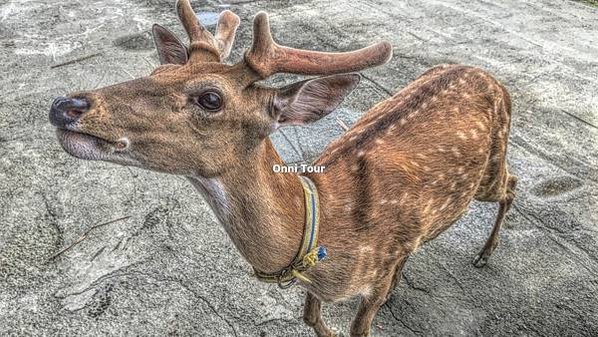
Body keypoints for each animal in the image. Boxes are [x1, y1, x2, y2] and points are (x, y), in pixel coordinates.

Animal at [47, 1, 516, 334]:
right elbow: (311, 319)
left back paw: (484, 255)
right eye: (158, 69)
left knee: (511, 184)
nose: (65, 105)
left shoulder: (371, 283)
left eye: (211, 98)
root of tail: (492, 78)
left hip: (490, 170)